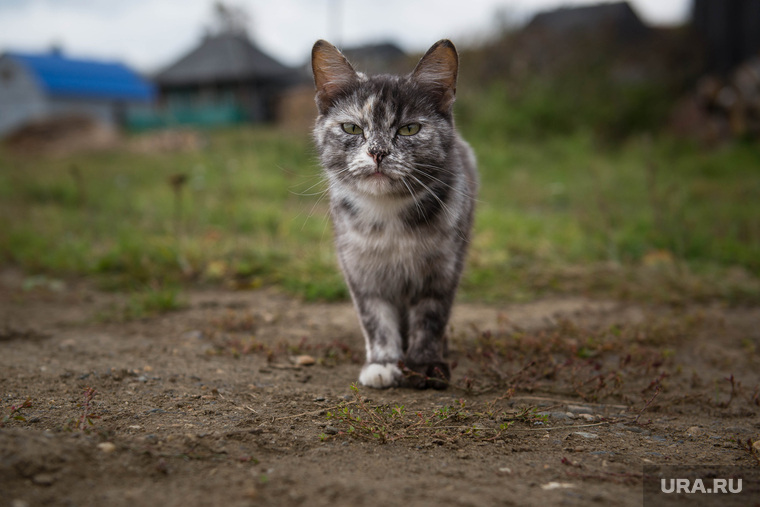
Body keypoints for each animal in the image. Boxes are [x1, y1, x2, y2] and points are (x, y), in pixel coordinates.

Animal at [308, 39, 476, 390]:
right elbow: (375, 318)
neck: (389, 220)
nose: (378, 152)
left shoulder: (442, 268)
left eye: (409, 129)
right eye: (352, 127)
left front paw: (425, 366)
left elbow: (431, 317)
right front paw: (383, 364)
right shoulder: (361, 269)